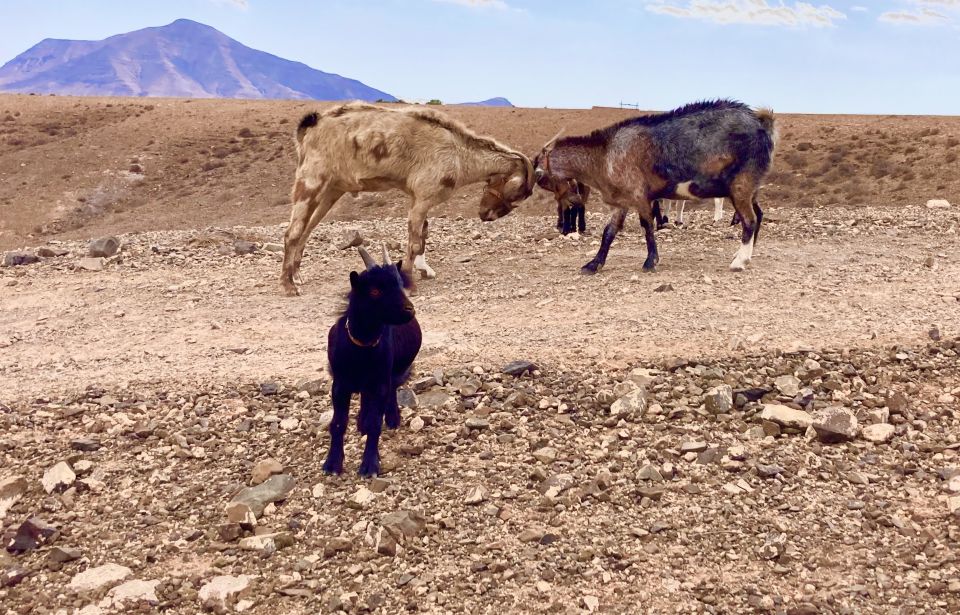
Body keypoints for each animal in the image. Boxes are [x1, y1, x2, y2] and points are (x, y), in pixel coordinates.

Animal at [282, 103, 536, 296]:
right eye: (514, 195)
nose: (486, 215)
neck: (459, 154)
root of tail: (311, 126)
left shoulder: (419, 199)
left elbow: (423, 233)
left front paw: (425, 270)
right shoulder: (423, 198)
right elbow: (414, 242)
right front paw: (409, 283)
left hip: (331, 191)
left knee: (305, 231)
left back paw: (297, 275)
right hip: (310, 182)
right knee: (292, 233)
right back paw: (288, 286)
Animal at [324, 245, 422, 476]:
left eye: (399, 285)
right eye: (375, 291)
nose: (409, 310)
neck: (361, 348)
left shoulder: (380, 382)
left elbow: (375, 422)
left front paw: (370, 464)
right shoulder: (339, 384)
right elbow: (338, 423)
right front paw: (332, 464)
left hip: (392, 373)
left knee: (391, 390)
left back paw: (392, 418)